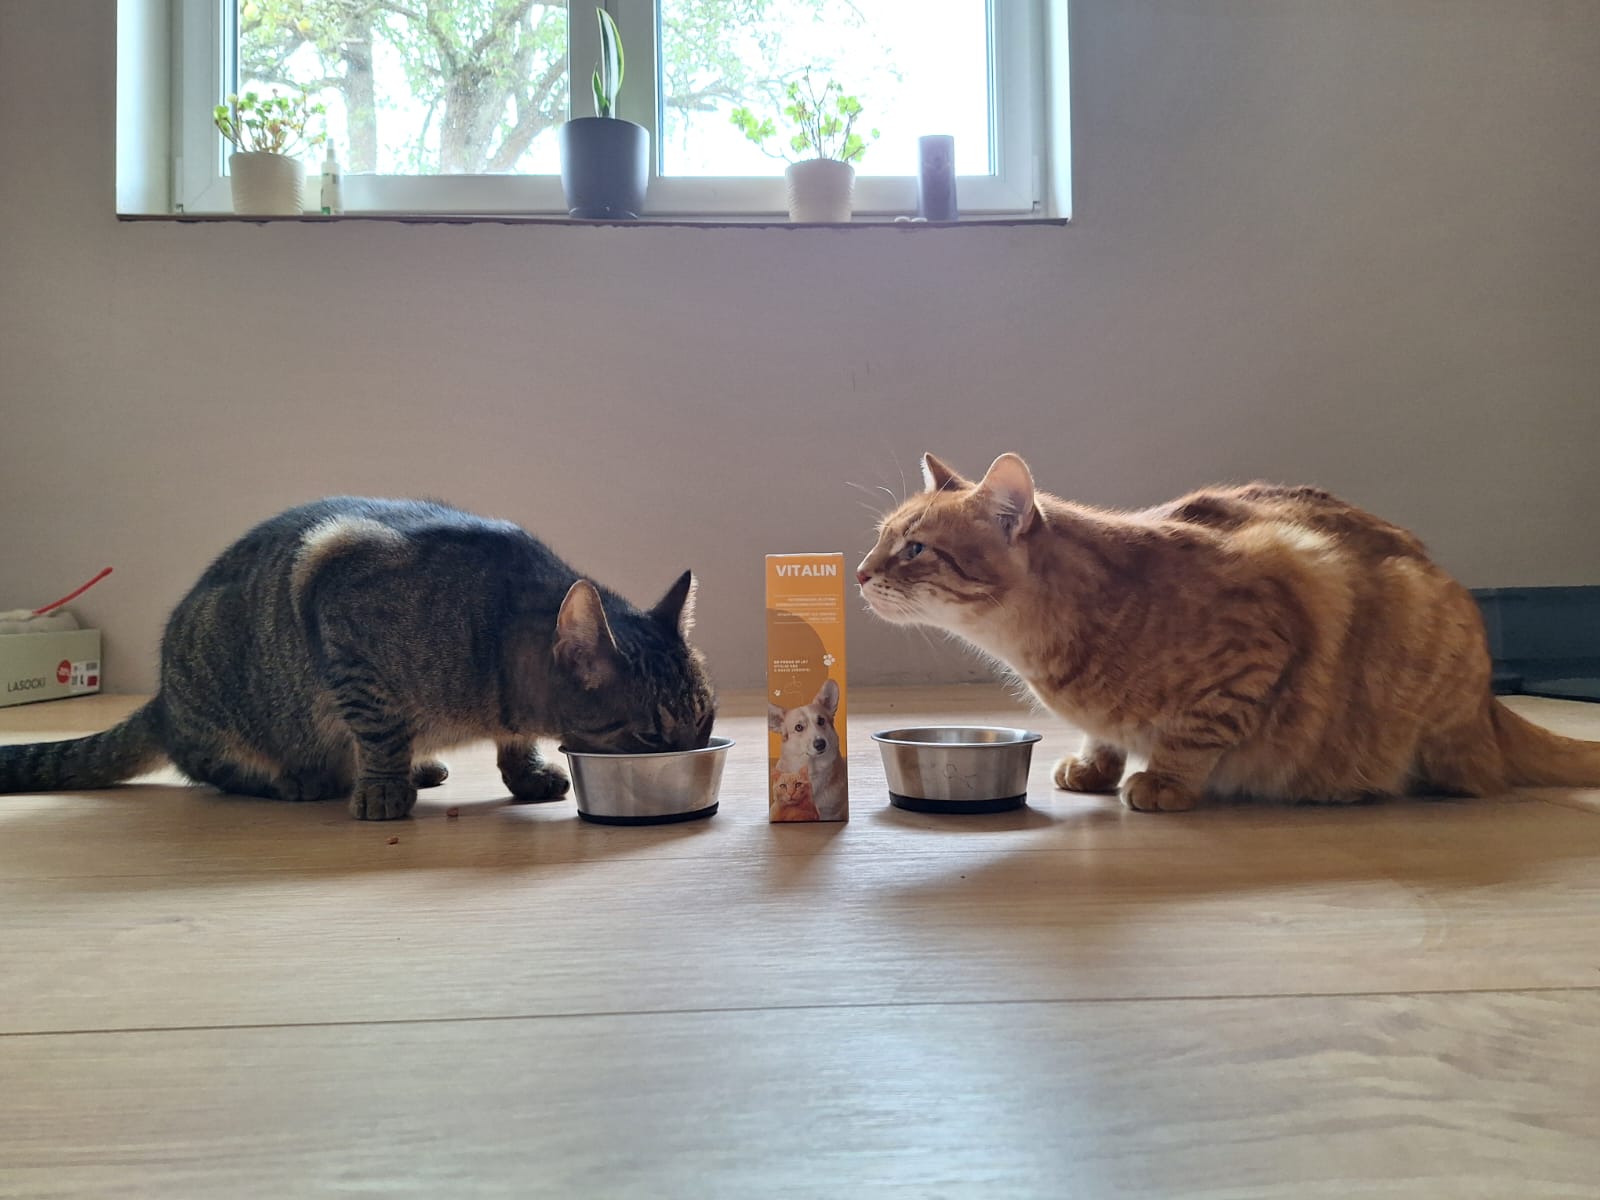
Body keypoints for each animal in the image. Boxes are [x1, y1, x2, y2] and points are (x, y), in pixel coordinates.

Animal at [0, 497, 717, 820]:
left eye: (705, 722)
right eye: (649, 736)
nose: (692, 750)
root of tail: (162, 701)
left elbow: (513, 744)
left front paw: (527, 770)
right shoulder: (338, 595)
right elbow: (377, 725)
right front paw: (381, 787)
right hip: (219, 694)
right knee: (217, 770)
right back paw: (305, 779)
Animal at [856, 452, 1600, 812]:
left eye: (915, 548)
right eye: (880, 539)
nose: (859, 574)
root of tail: (1490, 709)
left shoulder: (1258, 643)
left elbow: (1193, 736)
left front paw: (1163, 781)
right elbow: (1106, 736)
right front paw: (1097, 765)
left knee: (1461, 780)